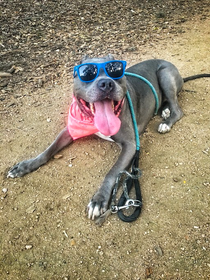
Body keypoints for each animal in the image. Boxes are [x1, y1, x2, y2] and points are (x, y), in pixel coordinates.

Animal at [7, 54, 209, 221]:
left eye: (115, 71)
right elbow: (49, 150)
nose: (106, 83)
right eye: (87, 73)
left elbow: (112, 172)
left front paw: (99, 199)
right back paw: (164, 110)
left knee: (178, 108)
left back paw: (166, 121)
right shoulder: (71, 129)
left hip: (165, 74)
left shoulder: (131, 144)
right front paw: (24, 166)